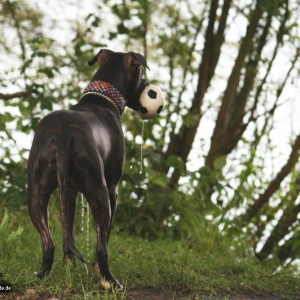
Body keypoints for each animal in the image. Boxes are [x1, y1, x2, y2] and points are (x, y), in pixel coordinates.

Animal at [26, 49, 148, 290]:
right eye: (140, 74)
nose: (148, 85)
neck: (101, 99)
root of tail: (63, 136)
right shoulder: (112, 189)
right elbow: (105, 237)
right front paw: (96, 271)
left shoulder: (70, 192)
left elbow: (69, 234)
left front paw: (69, 269)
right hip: (99, 191)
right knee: (101, 247)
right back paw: (111, 282)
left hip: (36, 191)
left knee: (49, 242)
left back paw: (42, 276)